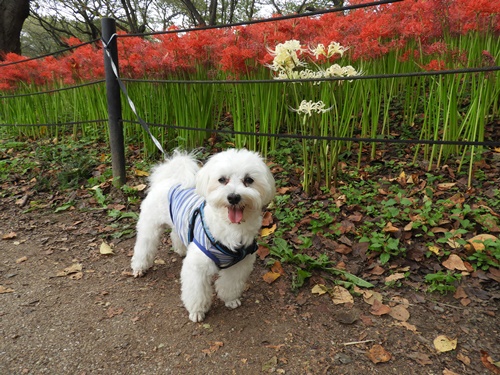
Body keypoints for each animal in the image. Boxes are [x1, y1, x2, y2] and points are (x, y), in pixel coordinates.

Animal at [131, 150, 276, 324]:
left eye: (249, 180)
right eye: (222, 179)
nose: (233, 197)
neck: (231, 228)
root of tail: (168, 180)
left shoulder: (240, 264)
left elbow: (230, 284)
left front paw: (230, 300)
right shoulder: (197, 267)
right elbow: (196, 292)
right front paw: (197, 311)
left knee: (175, 233)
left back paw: (181, 249)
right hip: (149, 226)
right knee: (144, 246)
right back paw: (139, 267)